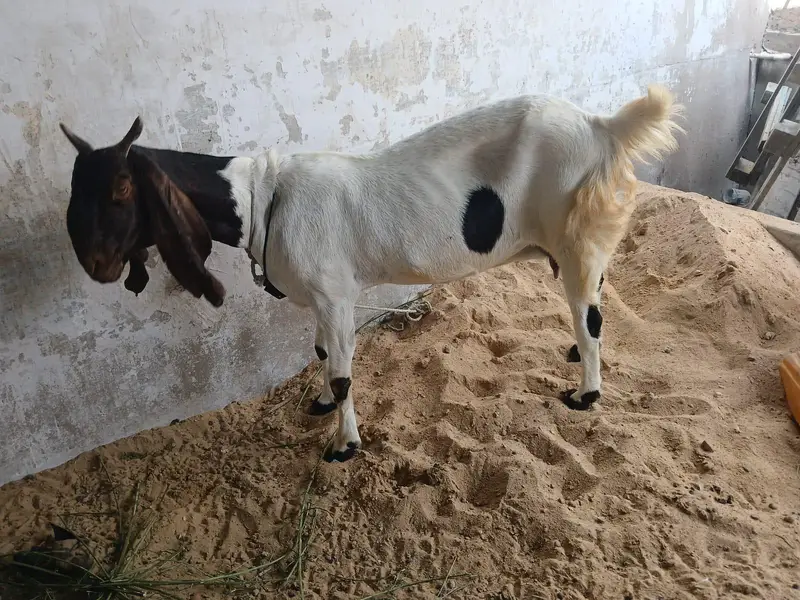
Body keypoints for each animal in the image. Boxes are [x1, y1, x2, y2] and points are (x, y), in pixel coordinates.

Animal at [60, 84, 681, 462]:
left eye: (121, 190)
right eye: (75, 186)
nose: (94, 266)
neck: (263, 195)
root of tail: (602, 127)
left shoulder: (336, 296)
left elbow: (342, 372)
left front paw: (344, 447)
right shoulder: (320, 298)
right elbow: (320, 355)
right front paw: (319, 406)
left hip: (578, 239)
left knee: (591, 315)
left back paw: (586, 393)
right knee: (594, 302)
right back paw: (575, 357)